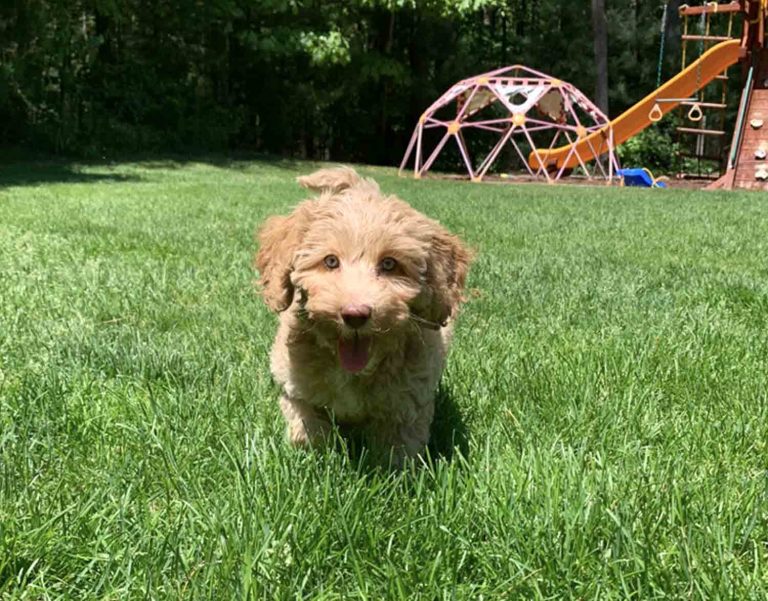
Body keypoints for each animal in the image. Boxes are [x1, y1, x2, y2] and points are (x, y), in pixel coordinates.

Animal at [255, 168, 472, 464]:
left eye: (390, 264)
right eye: (330, 261)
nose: (355, 315)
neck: (352, 371)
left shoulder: (408, 402)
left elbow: (398, 450)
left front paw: (392, 472)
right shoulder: (297, 387)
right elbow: (307, 430)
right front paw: (316, 459)